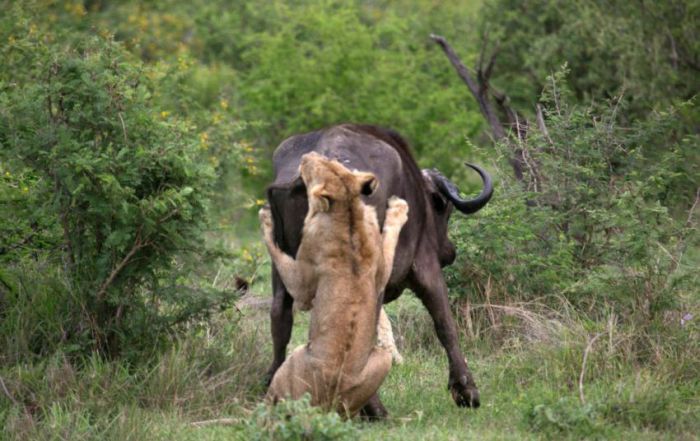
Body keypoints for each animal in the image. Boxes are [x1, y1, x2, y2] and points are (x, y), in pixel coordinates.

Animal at [262, 124, 492, 416]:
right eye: (445, 211)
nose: (449, 252)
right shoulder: (425, 265)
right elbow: (444, 322)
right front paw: (465, 390)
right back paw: (373, 406)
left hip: (284, 271)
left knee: (280, 316)